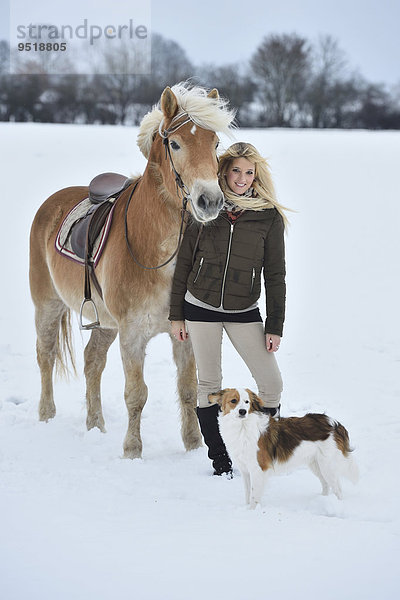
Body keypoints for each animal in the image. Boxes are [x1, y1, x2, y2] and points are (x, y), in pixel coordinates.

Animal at [31, 84, 236, 458]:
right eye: (175, 144)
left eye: (215, 143)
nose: (210, 201)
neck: (154, 246)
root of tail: (53, 201)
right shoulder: (132, 332)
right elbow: (136, 394)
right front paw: (132, 451)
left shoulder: (183, 331)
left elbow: (188, 388)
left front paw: (193, 445)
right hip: (48, 305)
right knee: (46, 355)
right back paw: (47, 415)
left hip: (104, 323)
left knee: (92, 361)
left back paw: (95, 425)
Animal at [208, 386, 358, 508]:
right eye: (233, 401)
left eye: (247, 402)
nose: (243, 411)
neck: (242, 427)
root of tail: (335, 423)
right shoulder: (245, 470)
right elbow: (247, 494)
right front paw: (245, 509)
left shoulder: (258, 469)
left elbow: (254, 496)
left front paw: (252, 512)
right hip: (316, 464)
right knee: (326, 484)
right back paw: (322, 501)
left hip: (327, 466)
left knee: (338, 489)